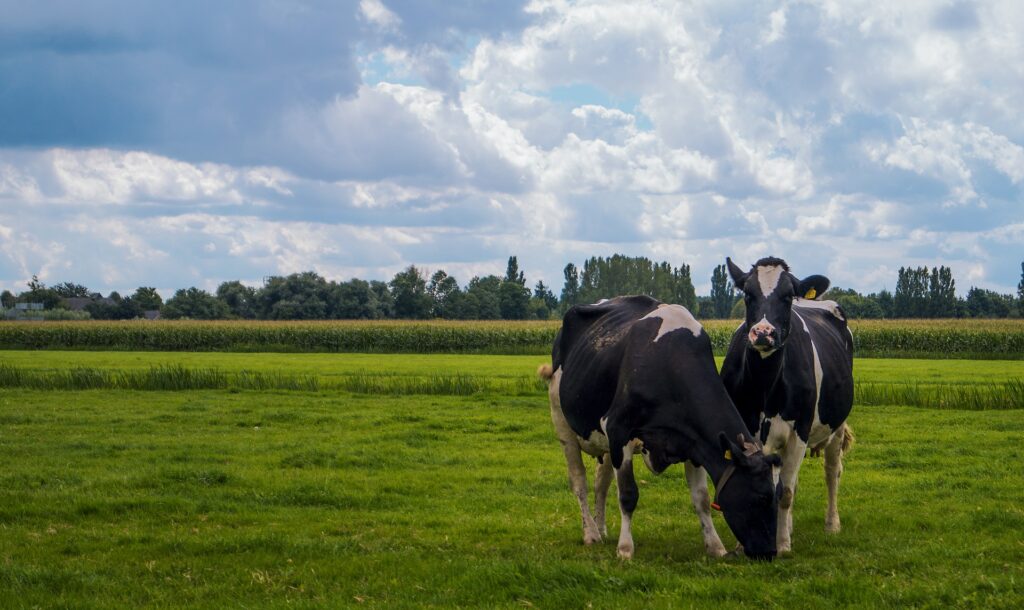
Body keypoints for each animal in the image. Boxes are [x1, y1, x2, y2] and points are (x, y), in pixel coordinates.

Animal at [540, 296, 778, 560]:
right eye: (762, 497)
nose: (770, 552)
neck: (670, 362)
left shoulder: (694, 442)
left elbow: (701, 498)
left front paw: (715, 546)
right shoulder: (618, 429)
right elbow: (628, 494)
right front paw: (625, 549)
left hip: (603, 442)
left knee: (600, 485)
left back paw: (601, 529)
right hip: (562, 423)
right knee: (579, 482)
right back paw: (590, 534)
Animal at [720, 254, 856, 556]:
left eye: (786, 296)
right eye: (748, 294)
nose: (763, 332)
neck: (764, 387)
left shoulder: (799, 431)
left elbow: (786, 492)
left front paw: (782, 545)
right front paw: (742, 543)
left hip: (836, 425)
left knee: (832, 471)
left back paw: (832, 524)